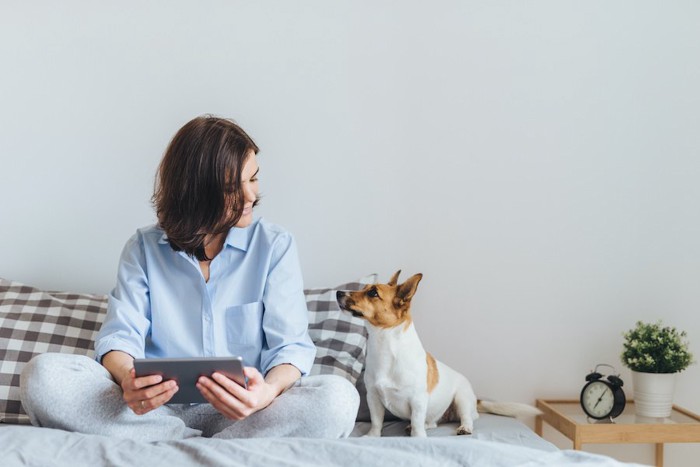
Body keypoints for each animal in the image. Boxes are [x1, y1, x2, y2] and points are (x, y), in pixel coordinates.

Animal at [338, 272, 540, 436]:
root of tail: (475, 399)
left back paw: (464, 428)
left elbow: (417, 424)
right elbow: (376, 422)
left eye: (373, 293)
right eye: (364, 288)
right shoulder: (373, 397)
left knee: (466, 418)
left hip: (462, 399)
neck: (385, 345)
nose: (339, 293)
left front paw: (418, 438)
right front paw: (372, 436)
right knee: (432, 423)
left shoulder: (418, 400)